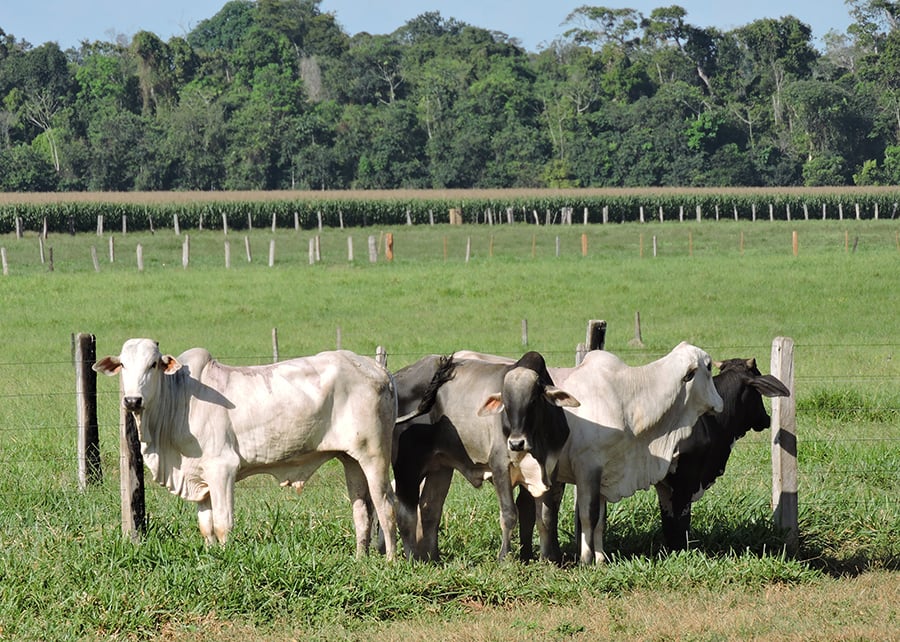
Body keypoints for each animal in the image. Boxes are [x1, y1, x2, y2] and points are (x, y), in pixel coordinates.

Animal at [93, 338, 400, 556]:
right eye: (123, 365)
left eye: (153, 364)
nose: (132, 400)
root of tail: (377, 369)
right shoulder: (199, 477)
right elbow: (206, 526)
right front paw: (212, 556)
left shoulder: (222, 468)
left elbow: (222, 523)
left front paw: (226, 557)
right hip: (351, 459)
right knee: (362, 511)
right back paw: (360, 559)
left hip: (375, 455)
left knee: (386, 506)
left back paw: (390, 561)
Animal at [392, 350, 576, 560]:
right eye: (506, 404)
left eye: (534, 401)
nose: (516, 443)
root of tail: (396, 378)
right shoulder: (500, 466)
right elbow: (509, 514)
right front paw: (504, 557)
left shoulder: (549, 469)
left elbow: (546, 517)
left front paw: (548, 559)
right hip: (407, 467)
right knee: (405, 514)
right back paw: (412, 558)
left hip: (440, 468)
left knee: (430, 509)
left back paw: (433, 559)